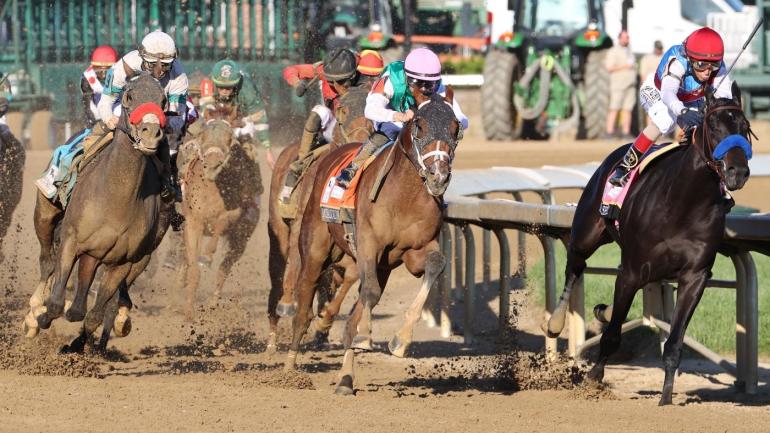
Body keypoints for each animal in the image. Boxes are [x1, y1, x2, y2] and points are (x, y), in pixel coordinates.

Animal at [25, 72, 171, 353]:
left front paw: (79, 345)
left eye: (163, 100)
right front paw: (43, 317)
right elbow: (57, 303)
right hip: (45, 213)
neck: (117, 197)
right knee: (47, 261)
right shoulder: (71, 240)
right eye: (128, 96)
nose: (150, 133)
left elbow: (92, 313)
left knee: (83, 299)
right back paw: (34, 313)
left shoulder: (125, 261)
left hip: (96, 256)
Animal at [177, 103, 261, 320]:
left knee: (224, 267)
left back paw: (213, 301)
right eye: (203, 135)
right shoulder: (193, 222)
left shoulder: (234, 214)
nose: (212, 164)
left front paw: (206, 256)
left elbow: (222, 222)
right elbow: (193, 268)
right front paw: (188, 312)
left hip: (242, 239)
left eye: (230, 137)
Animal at [266, 84, 371, 351]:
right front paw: (289, 304)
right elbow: (296, 260)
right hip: (278, 226)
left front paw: (324, 320)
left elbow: (349, 276)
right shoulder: (303, 226)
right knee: (279, 266)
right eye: (342, 109)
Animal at [282, 93, 460, 395]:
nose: (438, 176)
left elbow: (435, 264)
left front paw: (400, 340)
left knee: (356, 305)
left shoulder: (415, 250)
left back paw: (345, 378)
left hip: (382, 266)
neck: (405, 197)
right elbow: (370, 293)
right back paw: (288, 367)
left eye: (455, 127)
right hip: (315, 247)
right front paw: (365, 335)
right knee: (304, 303)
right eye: (419, 125)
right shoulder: (368, 243)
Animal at [544, 86, 752, 405]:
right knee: (574, 267)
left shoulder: (695, 276)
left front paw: (665, 398)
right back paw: (555, 323)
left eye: (745, 127)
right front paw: (593, 378)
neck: (683, 202)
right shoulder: (631, 271)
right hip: (585, 233)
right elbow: (612, 335)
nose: (737, 171)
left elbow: (675, 342)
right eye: (714, 126)